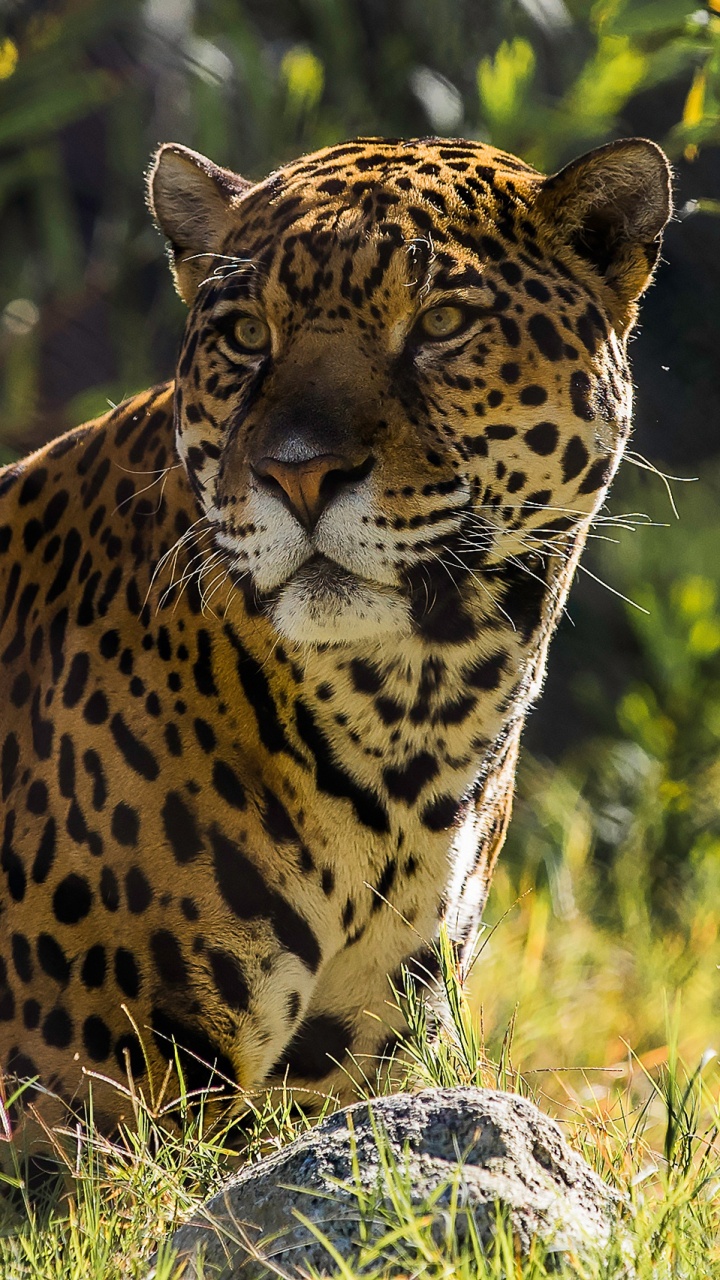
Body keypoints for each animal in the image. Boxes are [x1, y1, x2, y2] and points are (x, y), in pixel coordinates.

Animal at [0, 133, 671, 1160]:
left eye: (441, 323)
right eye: (247, 336)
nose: (300, 473)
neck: (413, 720)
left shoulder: (348, 1074)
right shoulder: (81, 1114)